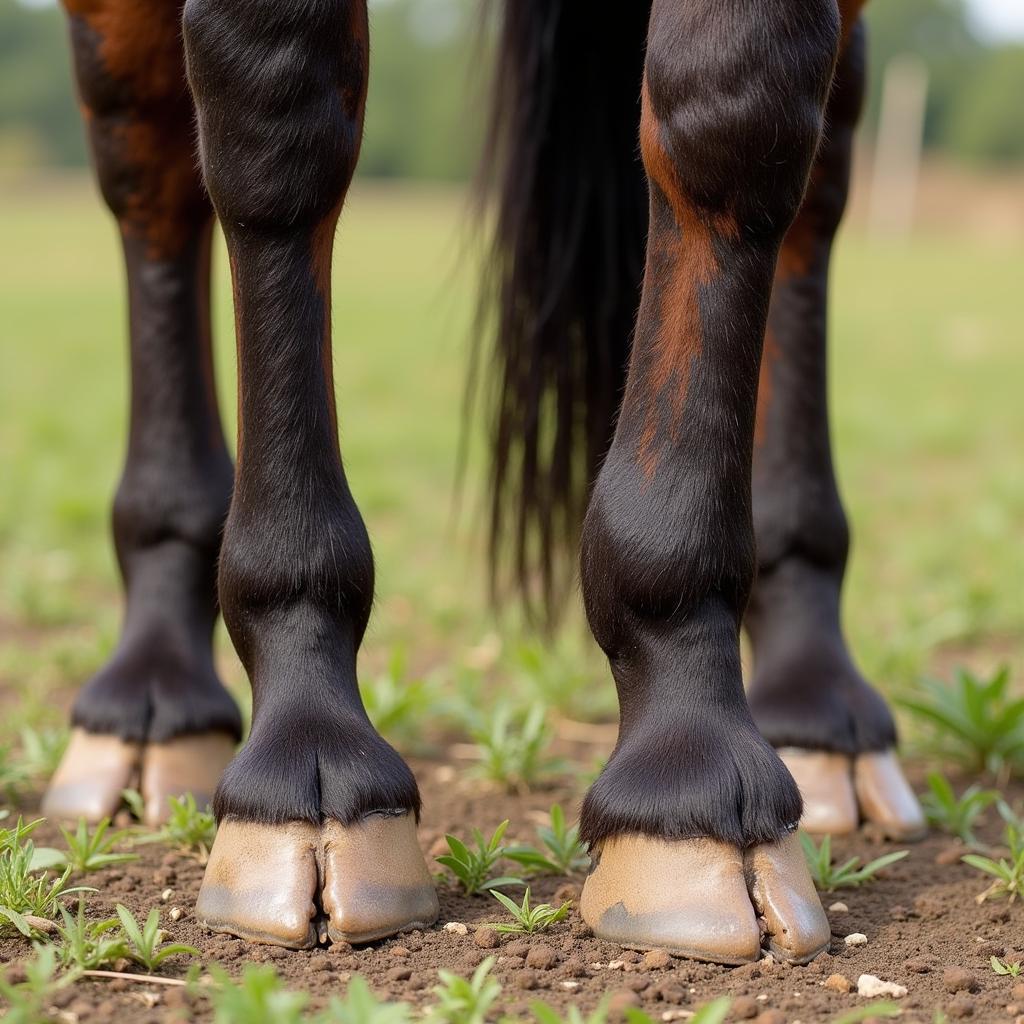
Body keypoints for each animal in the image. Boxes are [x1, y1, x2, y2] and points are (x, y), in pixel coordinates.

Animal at [39, 0, 925, 962]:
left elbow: (736, 121)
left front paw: (693, 767)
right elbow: (277, 121)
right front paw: (306, 741)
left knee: (823, 175)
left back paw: (816, 695)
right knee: (150, 159)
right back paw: (153, 685)